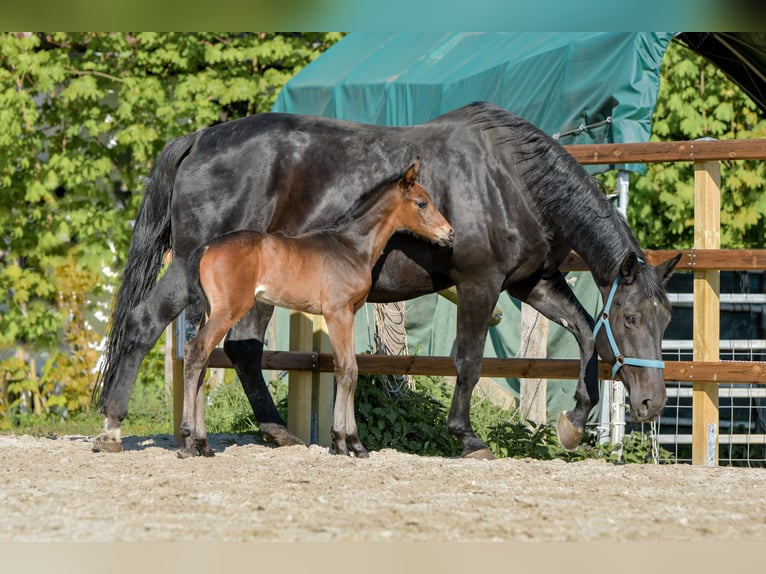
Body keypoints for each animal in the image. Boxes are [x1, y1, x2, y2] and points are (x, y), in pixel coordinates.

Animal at [180, 161, 456, 460]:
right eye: (422, 203)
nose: (450, 233)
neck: (350, 248)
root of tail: (207, 247)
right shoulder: (338, 313)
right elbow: (347, 370)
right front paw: (346, 443)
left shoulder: (348, 313)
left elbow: (351, 369)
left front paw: (352, 444)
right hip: (229, 310)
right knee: (195, 352)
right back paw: (187, 442)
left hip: (212, 312)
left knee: (203, 361)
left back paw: (203, 445)